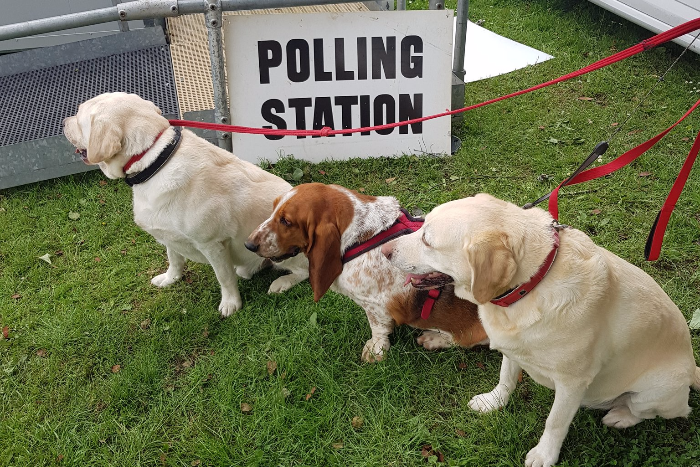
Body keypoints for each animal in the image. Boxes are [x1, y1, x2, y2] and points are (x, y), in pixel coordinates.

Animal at [63, 92, 308, 316]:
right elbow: (174, 260)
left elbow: (224, 278)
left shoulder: (212, 244)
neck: (153, 159)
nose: (64, 121)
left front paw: (231, 303)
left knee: (303, 273)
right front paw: (170, 279)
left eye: (79, 115)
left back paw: (281, 283)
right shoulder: (169, 236)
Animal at [244, 182, 487, 362]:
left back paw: (434, 339)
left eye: (286, 221)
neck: (362, 238)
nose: (249, 245)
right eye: (273, 208)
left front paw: (376, 350)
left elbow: (378, 328)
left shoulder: (375, 305)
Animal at [381, 193, 700, 467]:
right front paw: (493, 402)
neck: (530, 286)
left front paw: (545, 454)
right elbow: (506, 379)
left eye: (427, 239)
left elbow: (555, 422)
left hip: (656, 389)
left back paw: (621, 416)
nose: (384, 250)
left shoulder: (572, 382)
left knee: (662, 410)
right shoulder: (512, 349)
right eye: (423, 224)